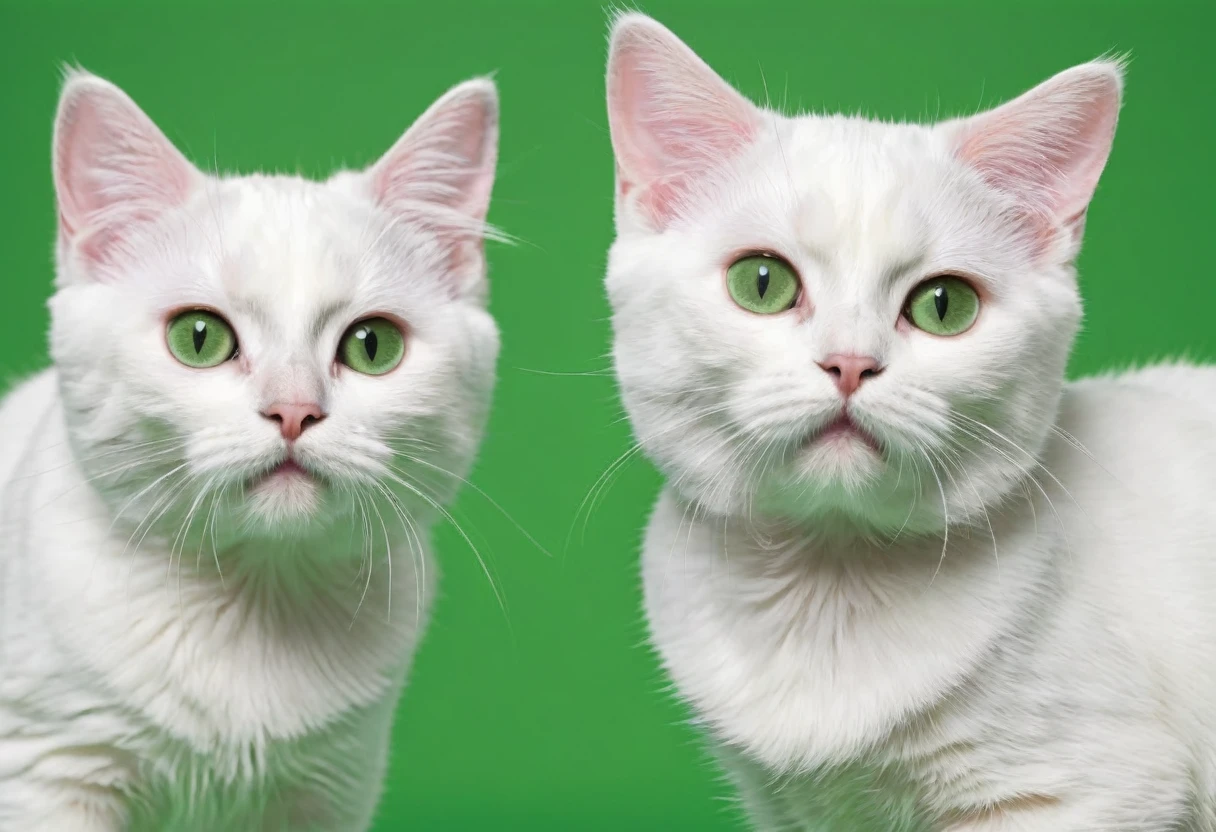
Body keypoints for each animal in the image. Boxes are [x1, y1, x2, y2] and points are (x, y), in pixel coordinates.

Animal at [0, 68, 500, 827]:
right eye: (199, 337)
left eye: (372, 345)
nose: (293, 410)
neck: (254, 603)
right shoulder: (47, 766)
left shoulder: (331, 785)